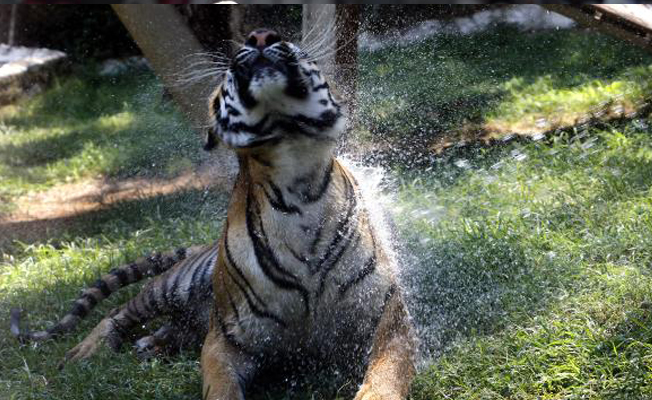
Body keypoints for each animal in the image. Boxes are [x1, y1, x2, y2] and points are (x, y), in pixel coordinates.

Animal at [10, 28, 416, 400]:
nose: (261, 35)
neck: (296, 180)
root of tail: (200, 247)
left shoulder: (389, 320)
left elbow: (385, 377)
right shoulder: (226, 341)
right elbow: (220, 388)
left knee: (171, 329)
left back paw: (151, 346)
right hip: (172, 286)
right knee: (119, 313)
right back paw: (88, 351)